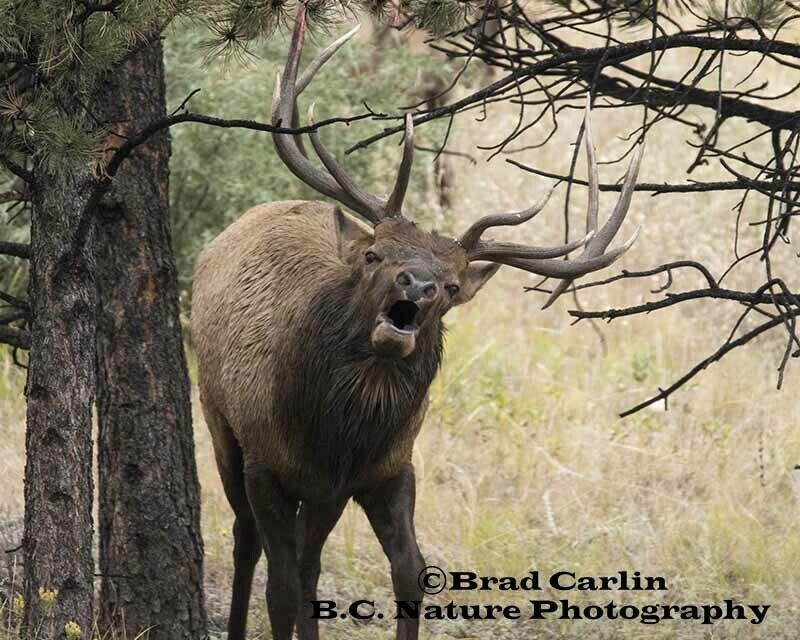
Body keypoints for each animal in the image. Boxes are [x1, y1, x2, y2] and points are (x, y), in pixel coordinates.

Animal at [191, 6, 644, 640]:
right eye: (374, 254)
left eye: (453, 287)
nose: (419, 285)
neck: (332, 436)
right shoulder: (264, 459)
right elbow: (276, 590)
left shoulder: (388, 468)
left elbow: (410, 572)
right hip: (218, 420)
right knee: (246, 541)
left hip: (323, 494)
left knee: (309, 563)